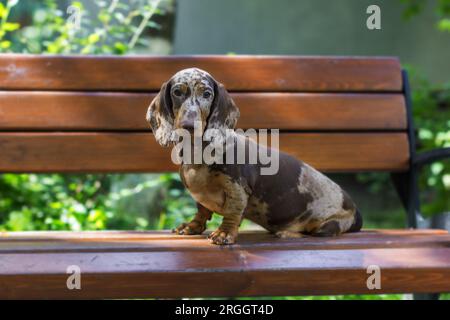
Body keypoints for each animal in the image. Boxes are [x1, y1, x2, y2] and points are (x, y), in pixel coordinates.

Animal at [147, 67, 362, 245]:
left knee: (316, 234)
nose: (189, 126)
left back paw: (288, 233)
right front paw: (192, 226)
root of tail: (356, 212)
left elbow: (232, 213)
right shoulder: (201, 195)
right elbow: (202, 210)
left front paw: (224, 233)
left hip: (329, 224)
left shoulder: (237, 189)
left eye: (207, 94)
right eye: (177, 92)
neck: (198, 151)